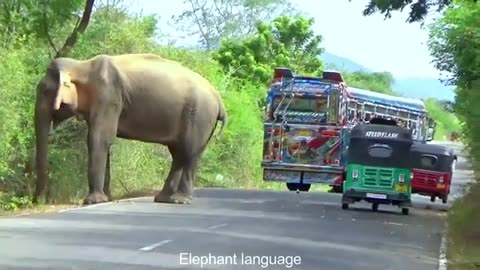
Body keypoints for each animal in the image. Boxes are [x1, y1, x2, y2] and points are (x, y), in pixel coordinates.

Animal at [32, 52, 228, 205]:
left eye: (45, 91)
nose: (40, 201)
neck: (81, 64)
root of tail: (219, 100)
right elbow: (105, 142)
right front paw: (106, 199)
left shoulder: (108, 96)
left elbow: (99, 138)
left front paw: (93, 201)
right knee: (179, 154)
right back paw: (164, 199)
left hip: (200, 116)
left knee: (189, 152)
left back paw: (180, 200)